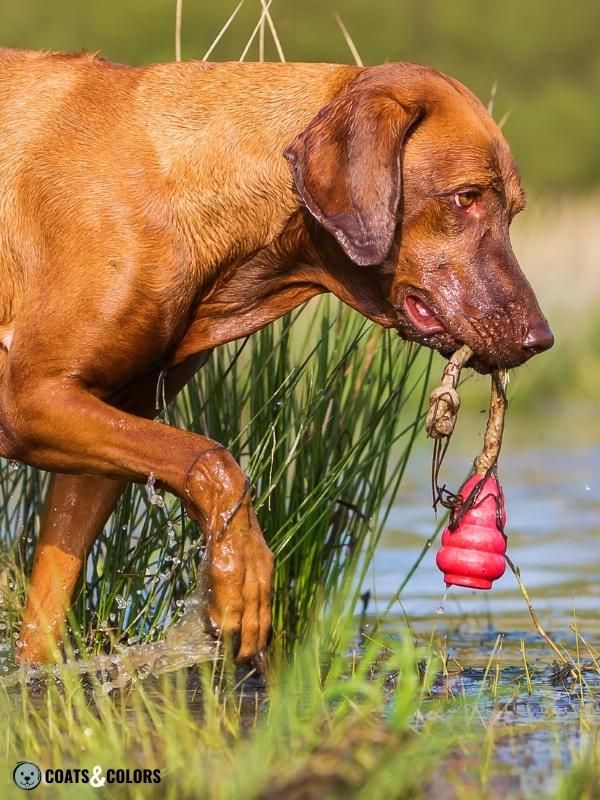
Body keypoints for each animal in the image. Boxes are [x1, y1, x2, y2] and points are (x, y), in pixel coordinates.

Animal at [0, 48, 552, 664]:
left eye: (514, 212)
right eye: (465, 197)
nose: (539, 338)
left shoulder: (112, 417)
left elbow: (46, 613)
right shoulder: (30, 398)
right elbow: (212, 458)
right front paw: (241, 573)